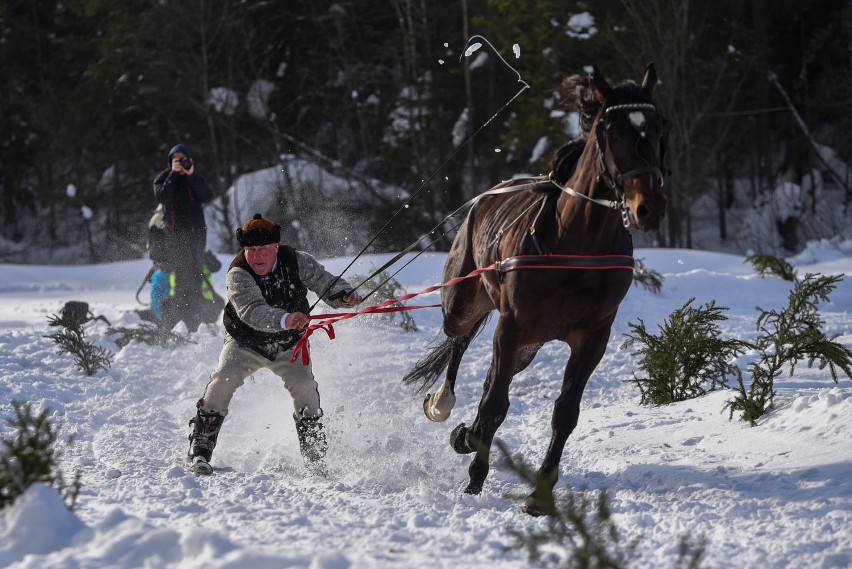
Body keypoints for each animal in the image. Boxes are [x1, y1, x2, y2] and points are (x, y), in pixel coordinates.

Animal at [402, 62, 668, 516]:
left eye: (657, 125)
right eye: (612, 130)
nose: (648, 207)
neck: (575, 249)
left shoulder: (592, 337)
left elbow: (565, 413)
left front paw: (539, 493)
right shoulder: (512, 325)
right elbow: (495, 406)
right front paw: (475, 479)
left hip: (529, 343)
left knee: (492, 374)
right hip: (468, 302)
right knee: (460, 339)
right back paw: (444, 405)